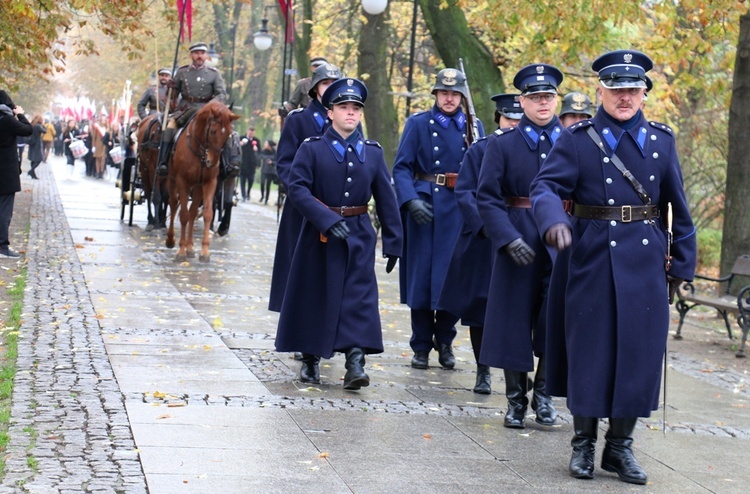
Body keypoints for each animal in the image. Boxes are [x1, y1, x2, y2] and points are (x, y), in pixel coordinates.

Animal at [166, 100, 239, 262]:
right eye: (213, 131)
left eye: (228, 135)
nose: (212, 162)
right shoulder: (182, 181)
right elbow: (183, 215)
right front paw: (181, 250)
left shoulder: (209, 182)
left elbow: (207, 213)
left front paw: (204, 251)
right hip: (173, 180)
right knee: (174, 205)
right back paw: (171, 240)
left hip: (198, 187)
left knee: (193, 212)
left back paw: (191, 247)